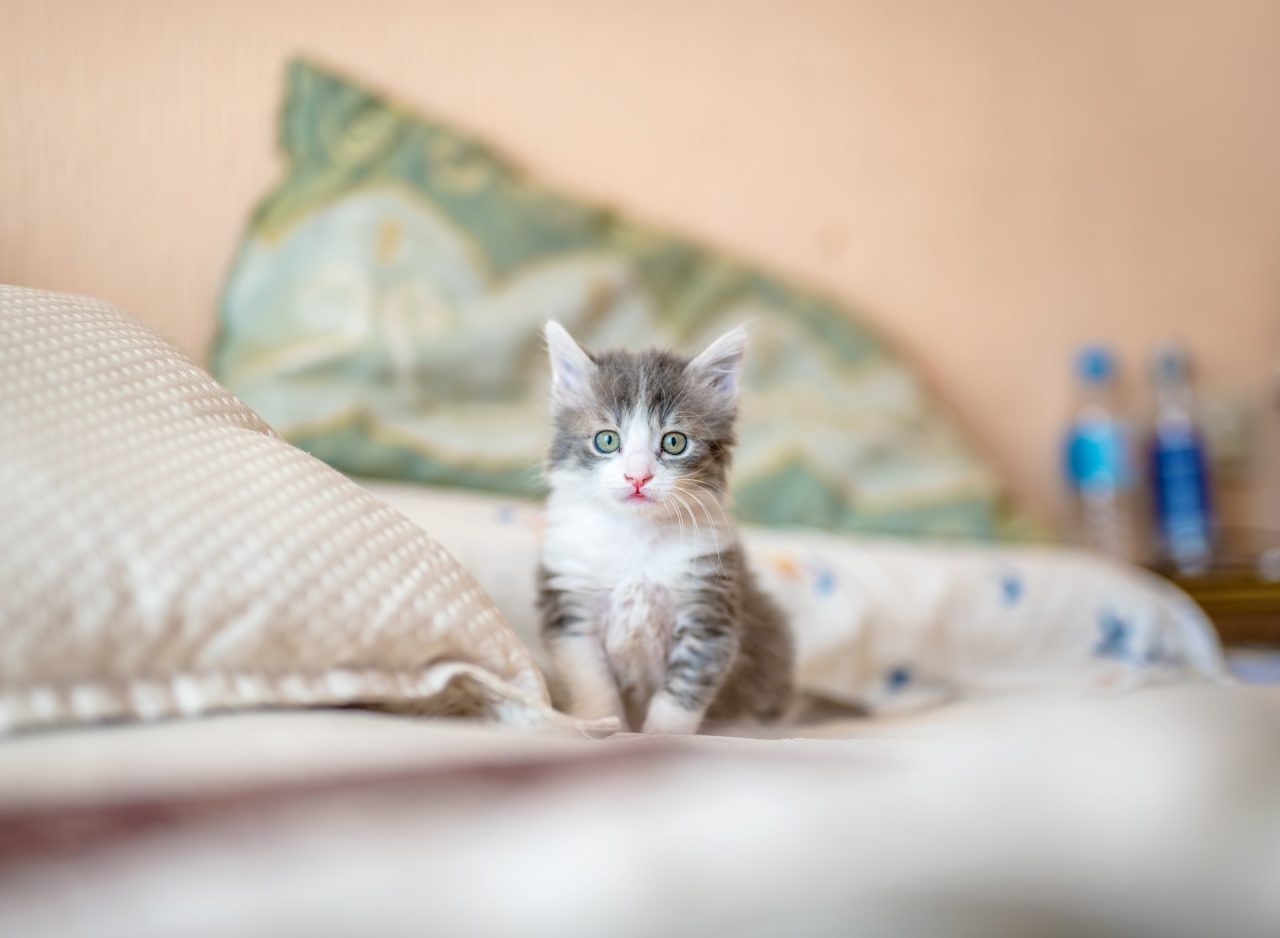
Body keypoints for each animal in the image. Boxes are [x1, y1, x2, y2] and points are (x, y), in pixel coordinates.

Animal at [535, 322, 793, 731]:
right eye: (607, 439)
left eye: (674, 442)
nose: (637, 476)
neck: (636, 537)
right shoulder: (571, 609)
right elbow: (593, 685)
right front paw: (605, 727)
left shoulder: (709, 613)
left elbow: (680, 695)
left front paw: (659, 735)